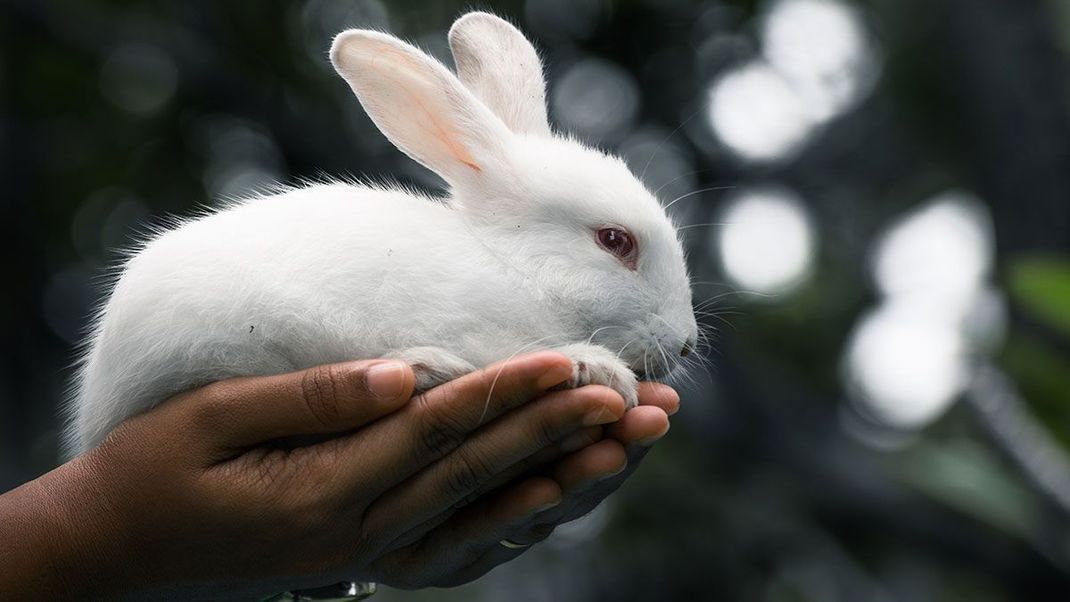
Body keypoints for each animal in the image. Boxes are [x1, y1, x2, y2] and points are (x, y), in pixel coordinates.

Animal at [69, 12, 701, 457]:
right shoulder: (475, 324)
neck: (513, 268)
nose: (687, 344)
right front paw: (598, 368)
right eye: (615, 242)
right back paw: (428, 367)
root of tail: (97, 412)